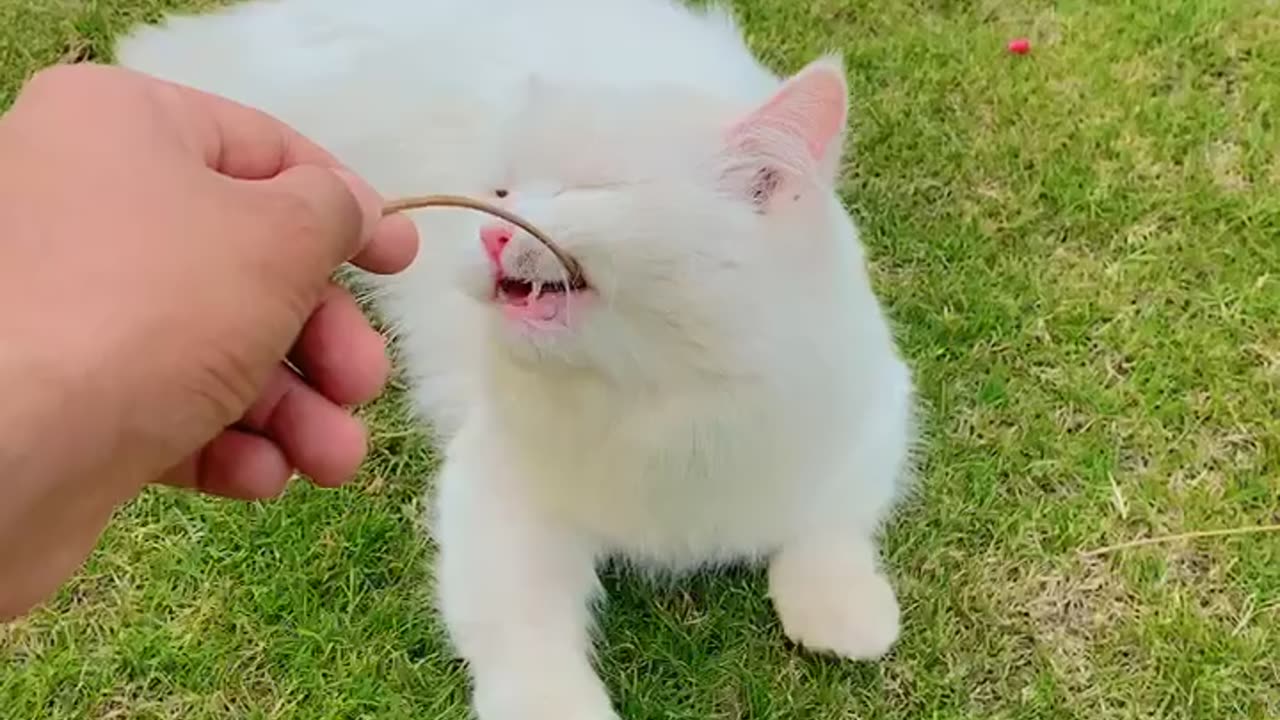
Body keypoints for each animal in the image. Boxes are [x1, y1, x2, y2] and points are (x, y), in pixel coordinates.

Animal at [120, 1, 916, 712]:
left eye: (591, 189)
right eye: (499, 191)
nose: (491, 233)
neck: (659, 392)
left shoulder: (875, 415)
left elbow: (833, 525)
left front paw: (845, 610)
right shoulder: (498, 493)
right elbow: (526, 634)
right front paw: (555, 705)